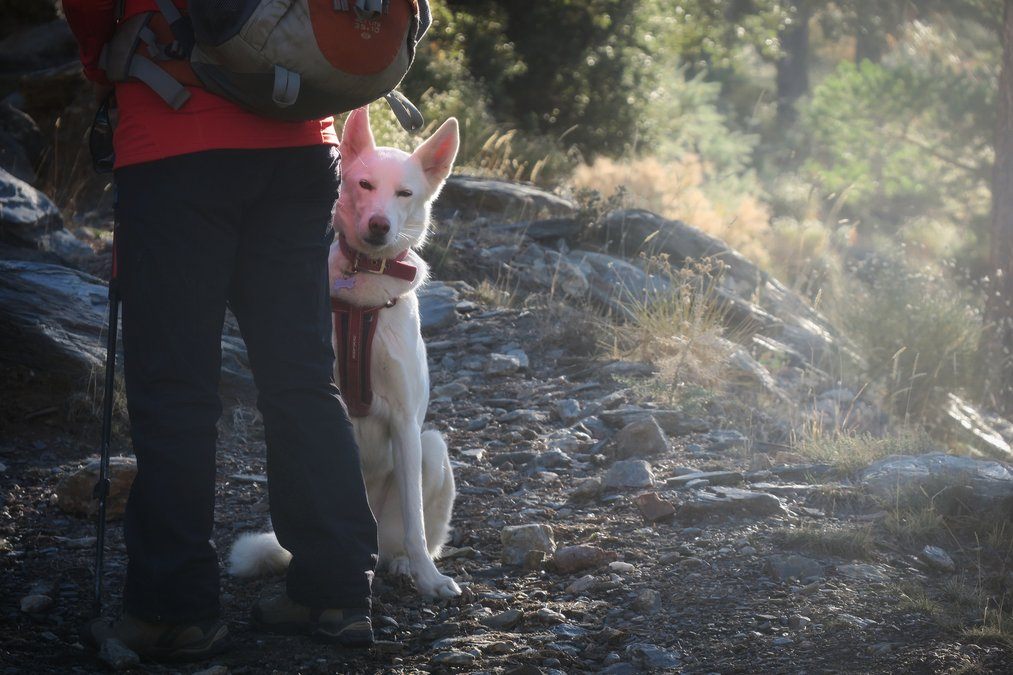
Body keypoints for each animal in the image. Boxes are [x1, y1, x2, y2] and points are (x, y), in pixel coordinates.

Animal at [227, 107, 461, 595]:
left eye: (405, 193)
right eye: (365, 184)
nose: (379, 225)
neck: (364, 293)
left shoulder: (406, 422)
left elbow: (415, 522)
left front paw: (430, 581)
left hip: (432, 447)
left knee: (404, 537)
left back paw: (405, 565)